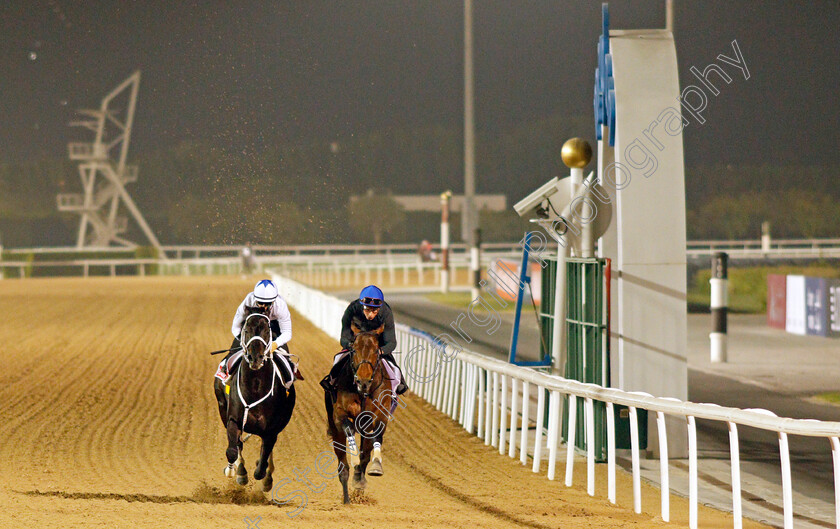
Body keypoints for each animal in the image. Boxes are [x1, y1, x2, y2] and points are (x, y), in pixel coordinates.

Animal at [213, 306, 296, 490]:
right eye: (246, 328)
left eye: (267, 329)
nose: (255, 357)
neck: (255, 387)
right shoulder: (233, 419)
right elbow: (233, 450)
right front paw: (236, 471)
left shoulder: (272, 429)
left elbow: (262, 464)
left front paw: (265, 477)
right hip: (221, 406)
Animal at [324, 322, 398, 504]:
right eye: (354, 349)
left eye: (376, 350)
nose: (363, 381)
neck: (363, 392)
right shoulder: (339, 414)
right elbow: (348, 428)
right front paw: (354, 458)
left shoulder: (380, 415)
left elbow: (374, 441)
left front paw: (374, 467)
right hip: (335, 431)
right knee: (342, 465)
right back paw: (347, 499)